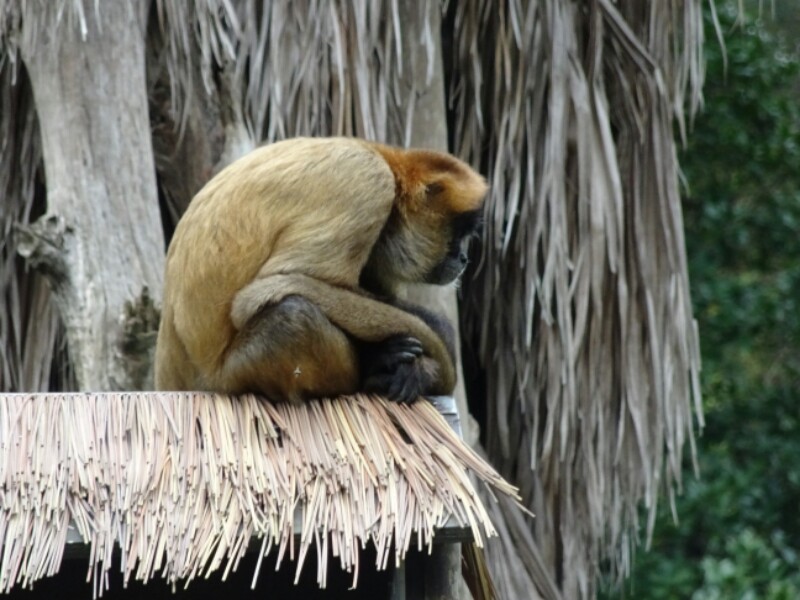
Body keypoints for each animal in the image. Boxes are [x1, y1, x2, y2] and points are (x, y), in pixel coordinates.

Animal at [154, 137, 487, 404]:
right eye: (458, 234)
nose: (463, 258)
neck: (383, 159)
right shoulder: (368, 182)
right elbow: (270, 286)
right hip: (230, 376)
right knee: (292, 317)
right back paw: (372, 369)